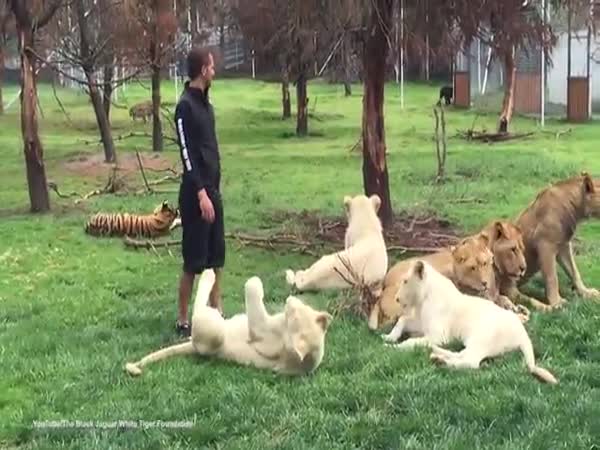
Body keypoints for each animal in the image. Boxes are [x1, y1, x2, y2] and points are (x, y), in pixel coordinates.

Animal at [125, 270, 332, 376]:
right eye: (299, 307)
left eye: (294, 316)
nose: (289, 301)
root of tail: (193, 346)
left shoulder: (261, 330)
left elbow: (252, 286)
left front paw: (254, 282)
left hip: (213, 328)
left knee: (199, 309)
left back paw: (208, 274)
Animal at [384, 260, 556, 384]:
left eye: (405, 281)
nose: (397, 299)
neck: (423, 300)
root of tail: (523, 334)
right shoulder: (420, 324)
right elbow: (402, 320)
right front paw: (388, 337)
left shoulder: (439, 335)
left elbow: (410, 341)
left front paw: (392, 347)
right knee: (463, 354)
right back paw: (437, 356)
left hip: (481, 338)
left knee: (471, 361)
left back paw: (440, 360)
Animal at [504, 172, 600, 310]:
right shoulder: (546, 245)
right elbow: (552, 277)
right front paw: (557, 302)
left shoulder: (564, 246)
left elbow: (574, 271)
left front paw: (586, 292)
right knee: (524, 299)